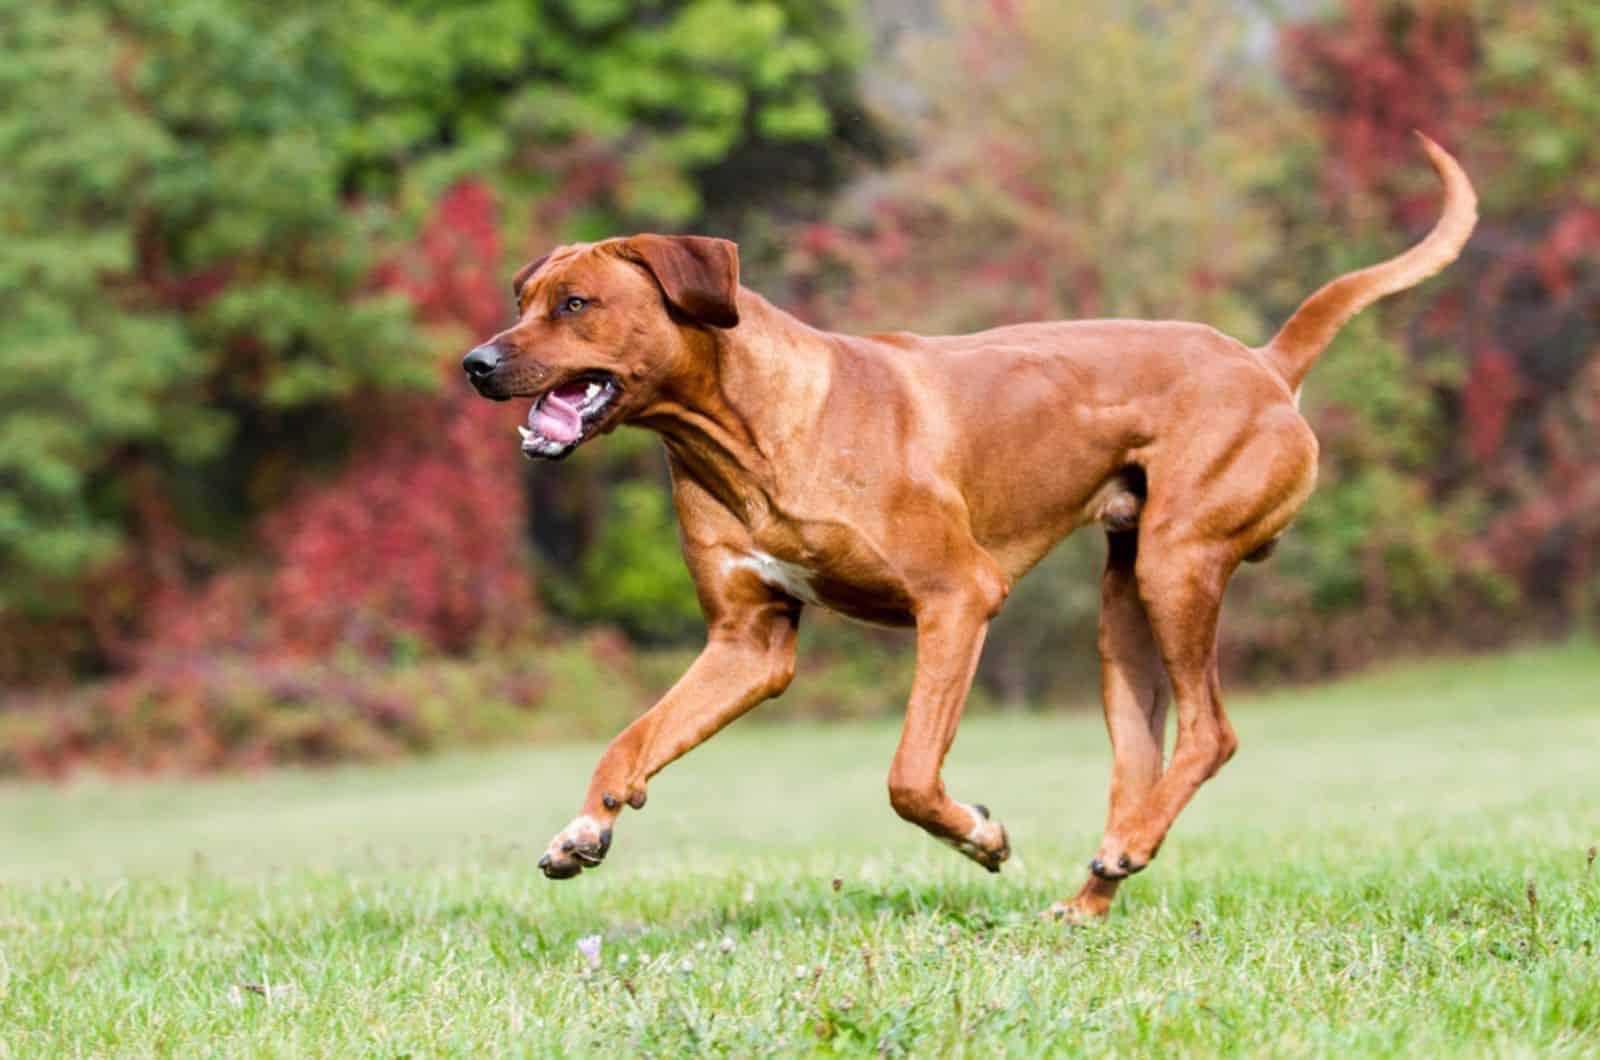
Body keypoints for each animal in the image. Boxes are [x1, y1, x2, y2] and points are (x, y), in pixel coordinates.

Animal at [460, 136, 1472, 928]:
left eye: (576, 304)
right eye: (522, 297)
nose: (475, 363)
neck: (744, 432)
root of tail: (1266, 363)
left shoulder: (957, 599)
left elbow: (909, 774)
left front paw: (980, 836)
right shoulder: (748, 643)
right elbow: (631, 738)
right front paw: (584, 829)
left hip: (1179, 562)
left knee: (1212, 733)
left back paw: (1121, 850)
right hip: (1125, 611)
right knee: (1143, 756)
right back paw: (1101, 882)